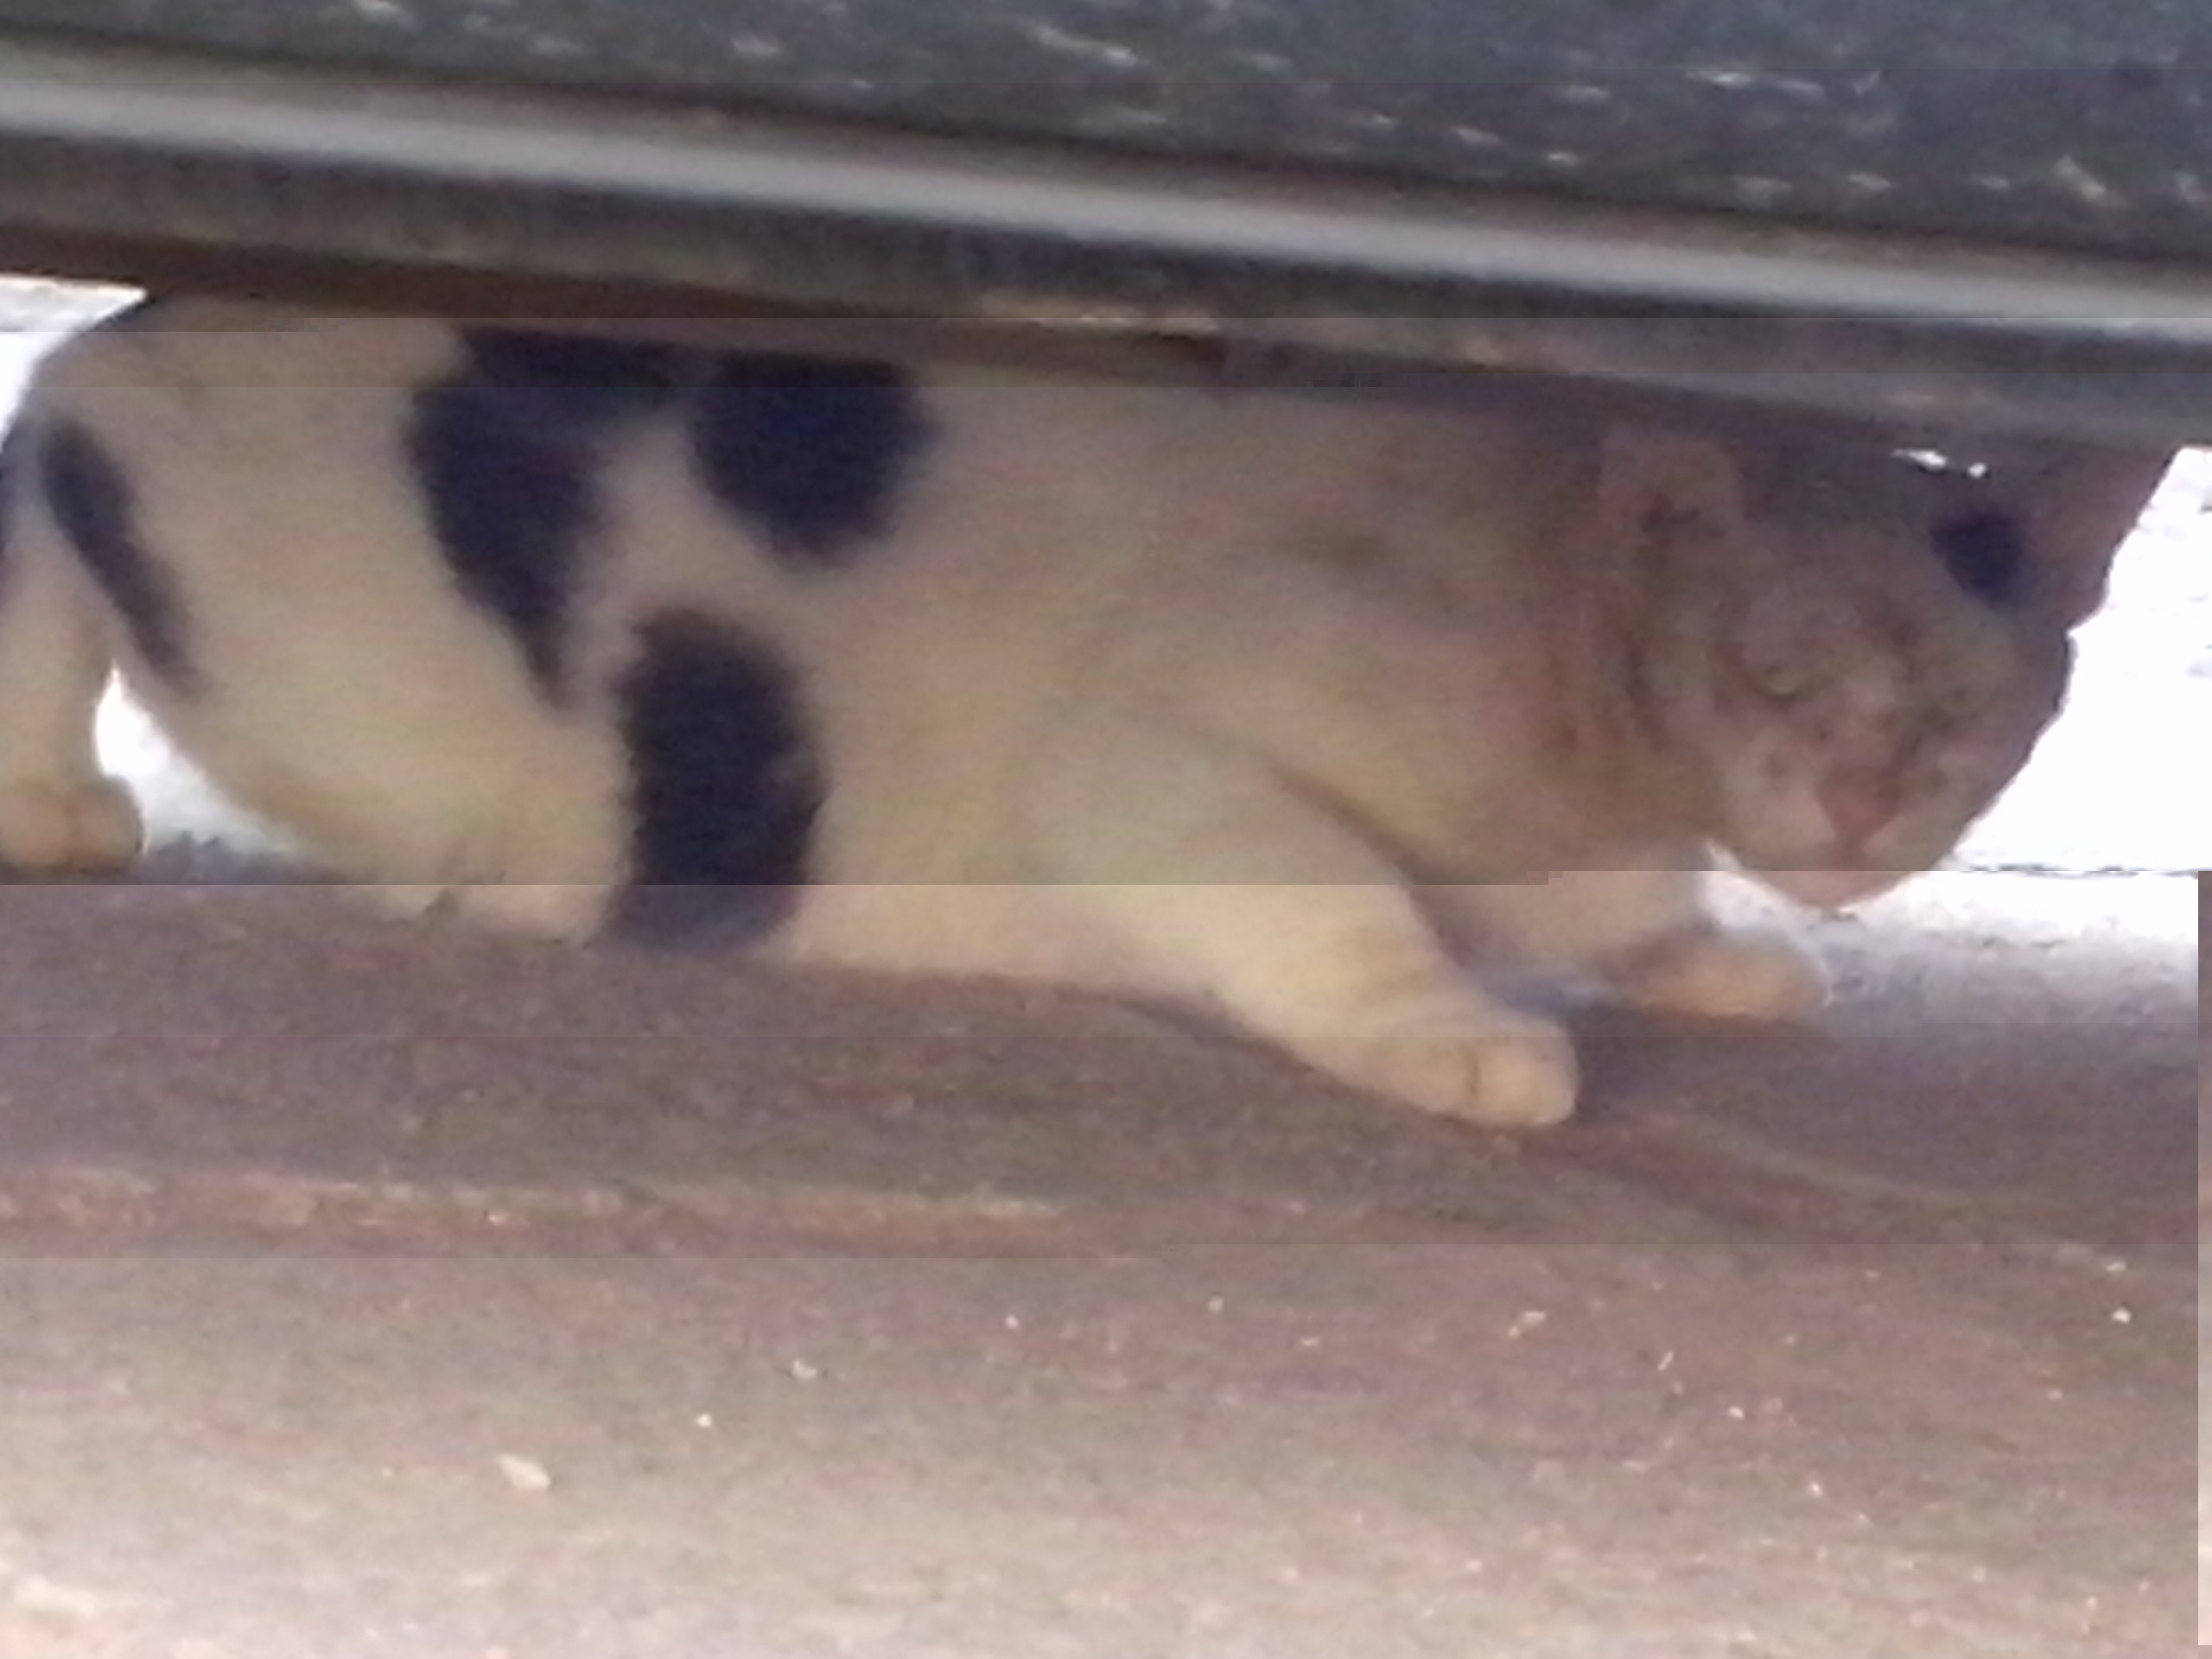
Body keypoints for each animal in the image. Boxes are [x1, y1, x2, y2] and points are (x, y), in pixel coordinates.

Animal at [0, 298, 2162, 1128]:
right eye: (1771, 675)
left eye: (1963, 712)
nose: (1859, 807)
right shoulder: (1154, 765)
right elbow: (1332, 895)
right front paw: (1446, 1029)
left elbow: (1630, 910)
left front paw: (1699, 956)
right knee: (43, 447)